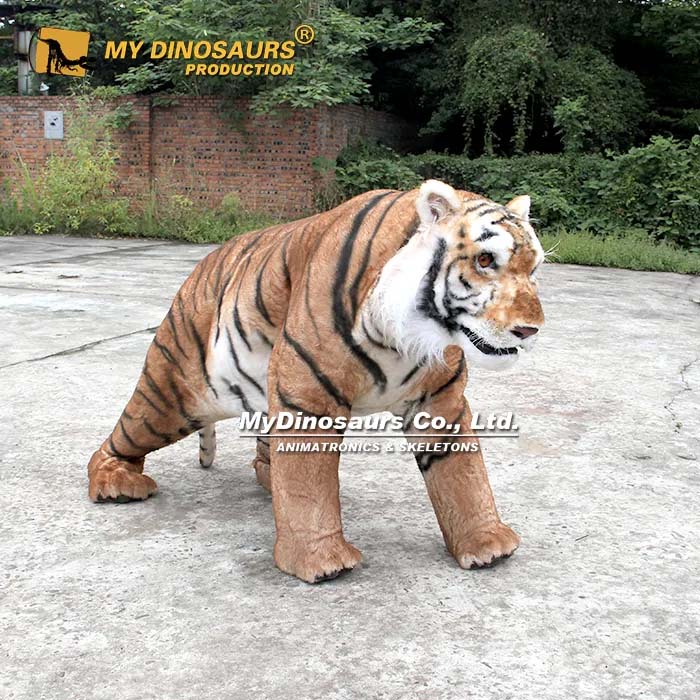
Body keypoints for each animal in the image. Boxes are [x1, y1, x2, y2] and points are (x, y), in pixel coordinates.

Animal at [87, 179, 545, 583]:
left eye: (534, 268)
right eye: (485, 261)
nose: (531, 330)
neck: (407, 339)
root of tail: (201, 267)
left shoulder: (440, 400)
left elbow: (461, 475)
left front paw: (486, 544)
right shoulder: (307, 395)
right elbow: (309, 482)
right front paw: (320, 561)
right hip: (171, 394)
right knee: (122, 436)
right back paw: (115, 483)